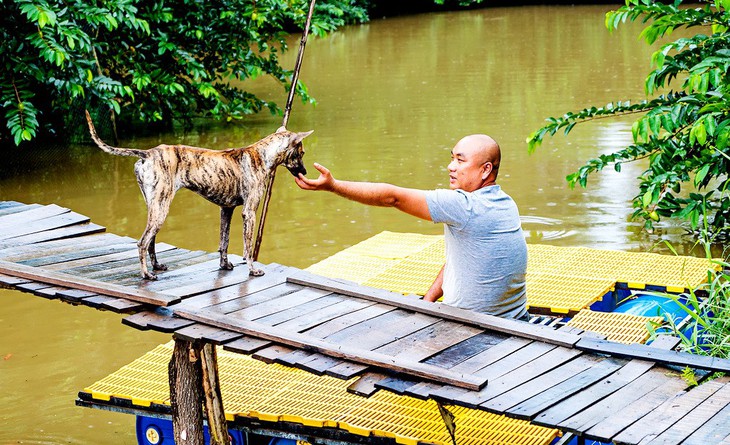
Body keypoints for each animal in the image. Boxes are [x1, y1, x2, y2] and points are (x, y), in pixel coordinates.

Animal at [85, 109, 312, 278]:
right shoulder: (249, 213)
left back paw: (156, 267)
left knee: (150, 242)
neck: (263, 155)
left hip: (154, 208)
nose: (305, 172)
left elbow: (224, 242)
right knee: (142, 242)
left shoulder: (226, 210)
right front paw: (252, 269)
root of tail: (147, 153)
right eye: (301, 153)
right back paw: (146, 274)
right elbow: (247, 247)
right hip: (161, 209)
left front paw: (224, 265)